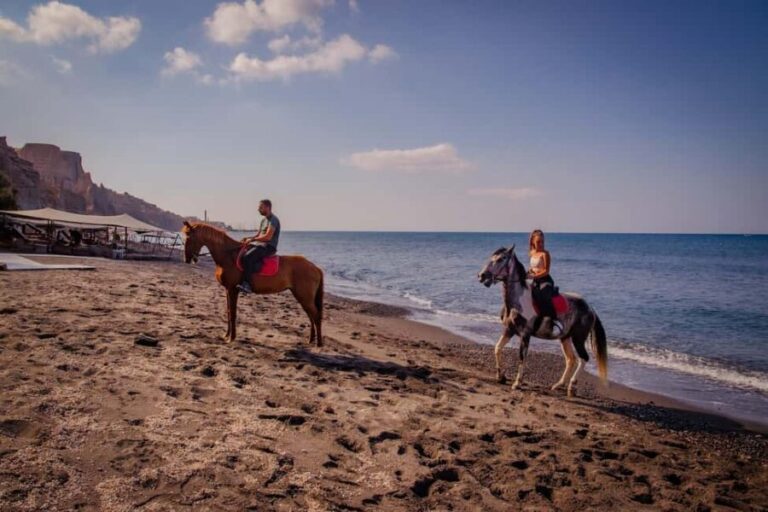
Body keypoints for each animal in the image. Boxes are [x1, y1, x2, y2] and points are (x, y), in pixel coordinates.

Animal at [181, 221, 324, 346]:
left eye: (189, 237)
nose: (187, 259)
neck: (228, 256)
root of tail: (316, 268)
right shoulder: (227, 289)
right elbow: (228, 311)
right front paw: (226, 335)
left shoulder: (233, 289)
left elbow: (232, 313)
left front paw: (231, 338)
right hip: (302, 296)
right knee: (311, 315)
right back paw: (311, 340)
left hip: (304, 296)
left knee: (315, 316)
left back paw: (319, 343)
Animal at [478, 246, 607, 397]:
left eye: (500, 259)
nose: (481, 276)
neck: (518, 300)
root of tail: (590, 308)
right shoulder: (509, 330)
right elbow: (497, 348)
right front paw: (501, 377)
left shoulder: (525, 334)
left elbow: (522, 357)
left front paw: (517, 383)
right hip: (565, 338)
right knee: (571, 360)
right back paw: (558, 385)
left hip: (578, 338)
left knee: (583, 359)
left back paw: (572, 387)